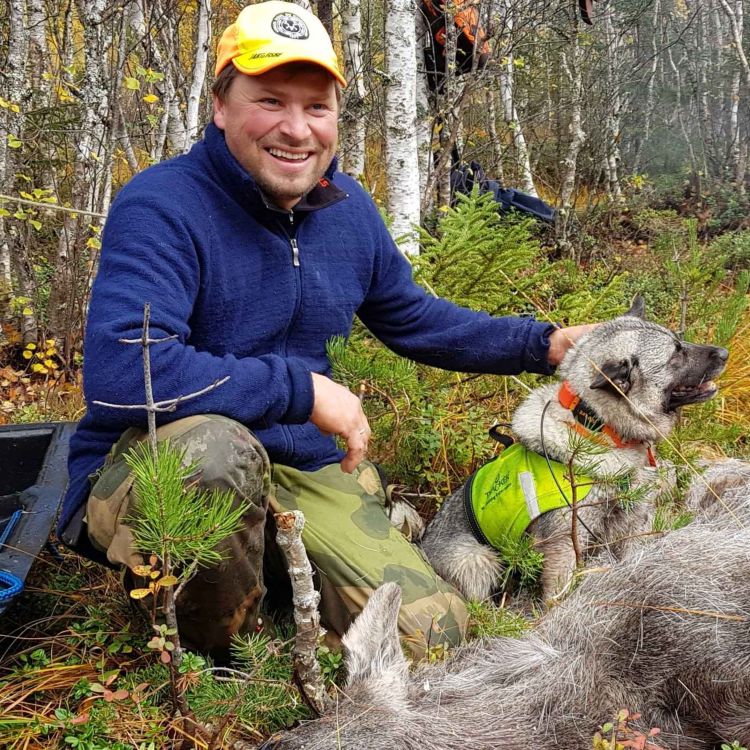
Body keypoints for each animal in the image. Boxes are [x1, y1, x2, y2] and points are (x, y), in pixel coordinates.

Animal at [424, 296, 728, 604]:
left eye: (679, 341)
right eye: (675, 355)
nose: (725, 353)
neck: (599, 428)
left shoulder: (631, 526)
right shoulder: (564, 546)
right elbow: (559, 590)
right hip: (477, 560)